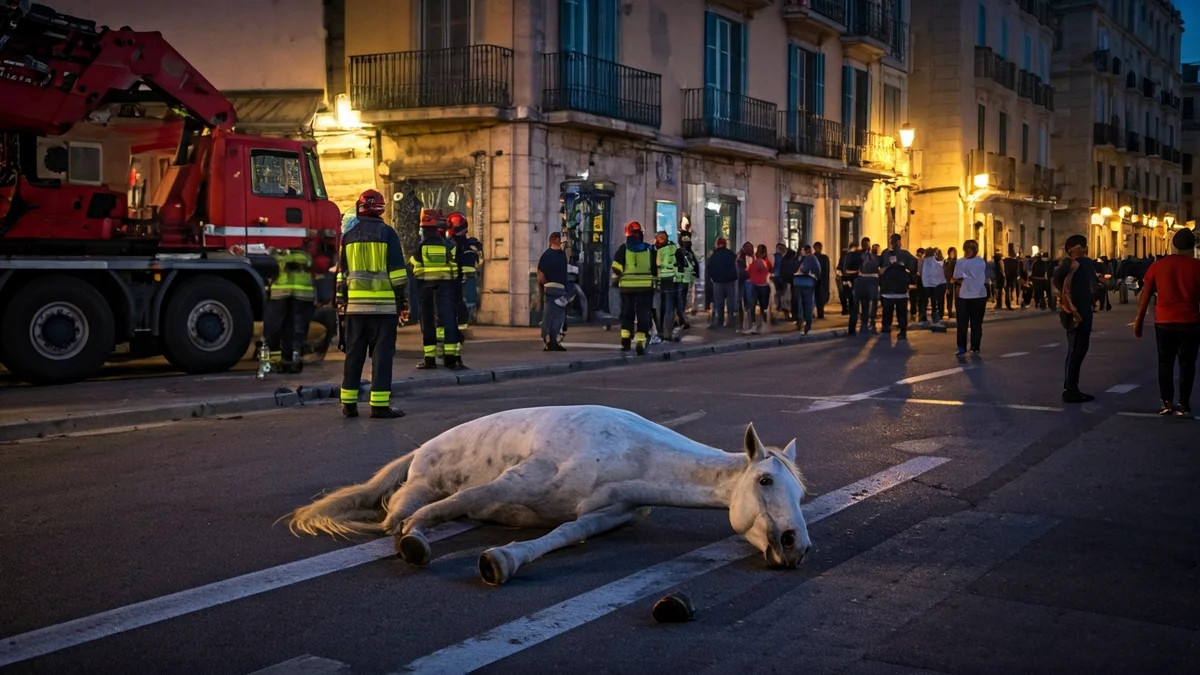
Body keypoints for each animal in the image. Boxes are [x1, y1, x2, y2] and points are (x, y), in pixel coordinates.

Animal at [287, 405, 812, 585]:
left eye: (800, 494)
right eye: (765, 482)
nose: (797, 547)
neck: (631, 453)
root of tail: (418, 450)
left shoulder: (605, 514)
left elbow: (560, 537)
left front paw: (502, 560)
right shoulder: (514, 481)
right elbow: (451, 506)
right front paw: (415, 541)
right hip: (417, 485)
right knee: (393, 516)